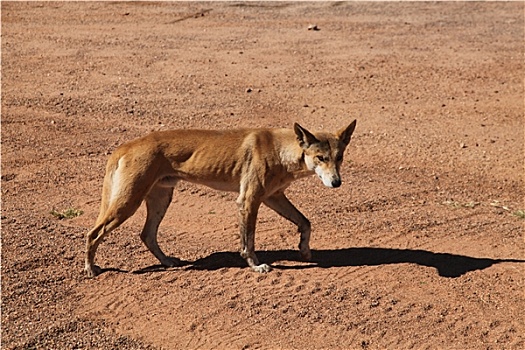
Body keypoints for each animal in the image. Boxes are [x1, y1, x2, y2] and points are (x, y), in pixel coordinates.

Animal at [85, 120, 356, 276]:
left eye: (339, 157)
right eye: (321, 158)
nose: (337, 182)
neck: (280, 150)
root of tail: (126, 146)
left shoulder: (273, 197)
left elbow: (305, 222)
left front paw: (305, 250)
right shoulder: (249, 200)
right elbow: (248, 242)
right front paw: (256, 266)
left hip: (161, 198)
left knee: (147, 234)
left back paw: (168, 262)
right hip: (128, 202)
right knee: (93, 233)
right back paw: (91, 269)